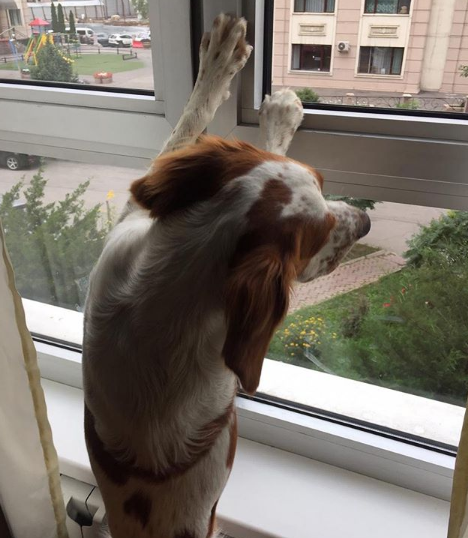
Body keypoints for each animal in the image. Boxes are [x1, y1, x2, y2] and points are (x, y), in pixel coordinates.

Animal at [82, 12, 372, 536]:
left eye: (321, 182)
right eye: (316, 239)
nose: (365, 223)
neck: (176, 284)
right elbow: (191, 118)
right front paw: (241, 76)